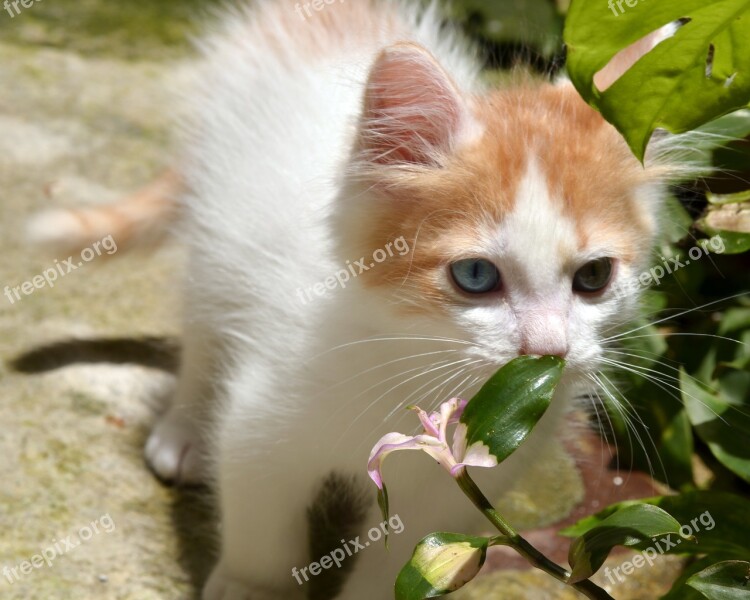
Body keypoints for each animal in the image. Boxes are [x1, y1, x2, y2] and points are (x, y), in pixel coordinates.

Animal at [27, 1, 704, 600]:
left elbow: (409, 562)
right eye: (476, 276)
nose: (549, 350)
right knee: (203, 322)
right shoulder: (263, 422)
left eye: (594, 277)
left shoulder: (455, 489)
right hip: (216, 230)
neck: (415, 362)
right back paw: (186, 426)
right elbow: (258, 514)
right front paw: (254, 587)